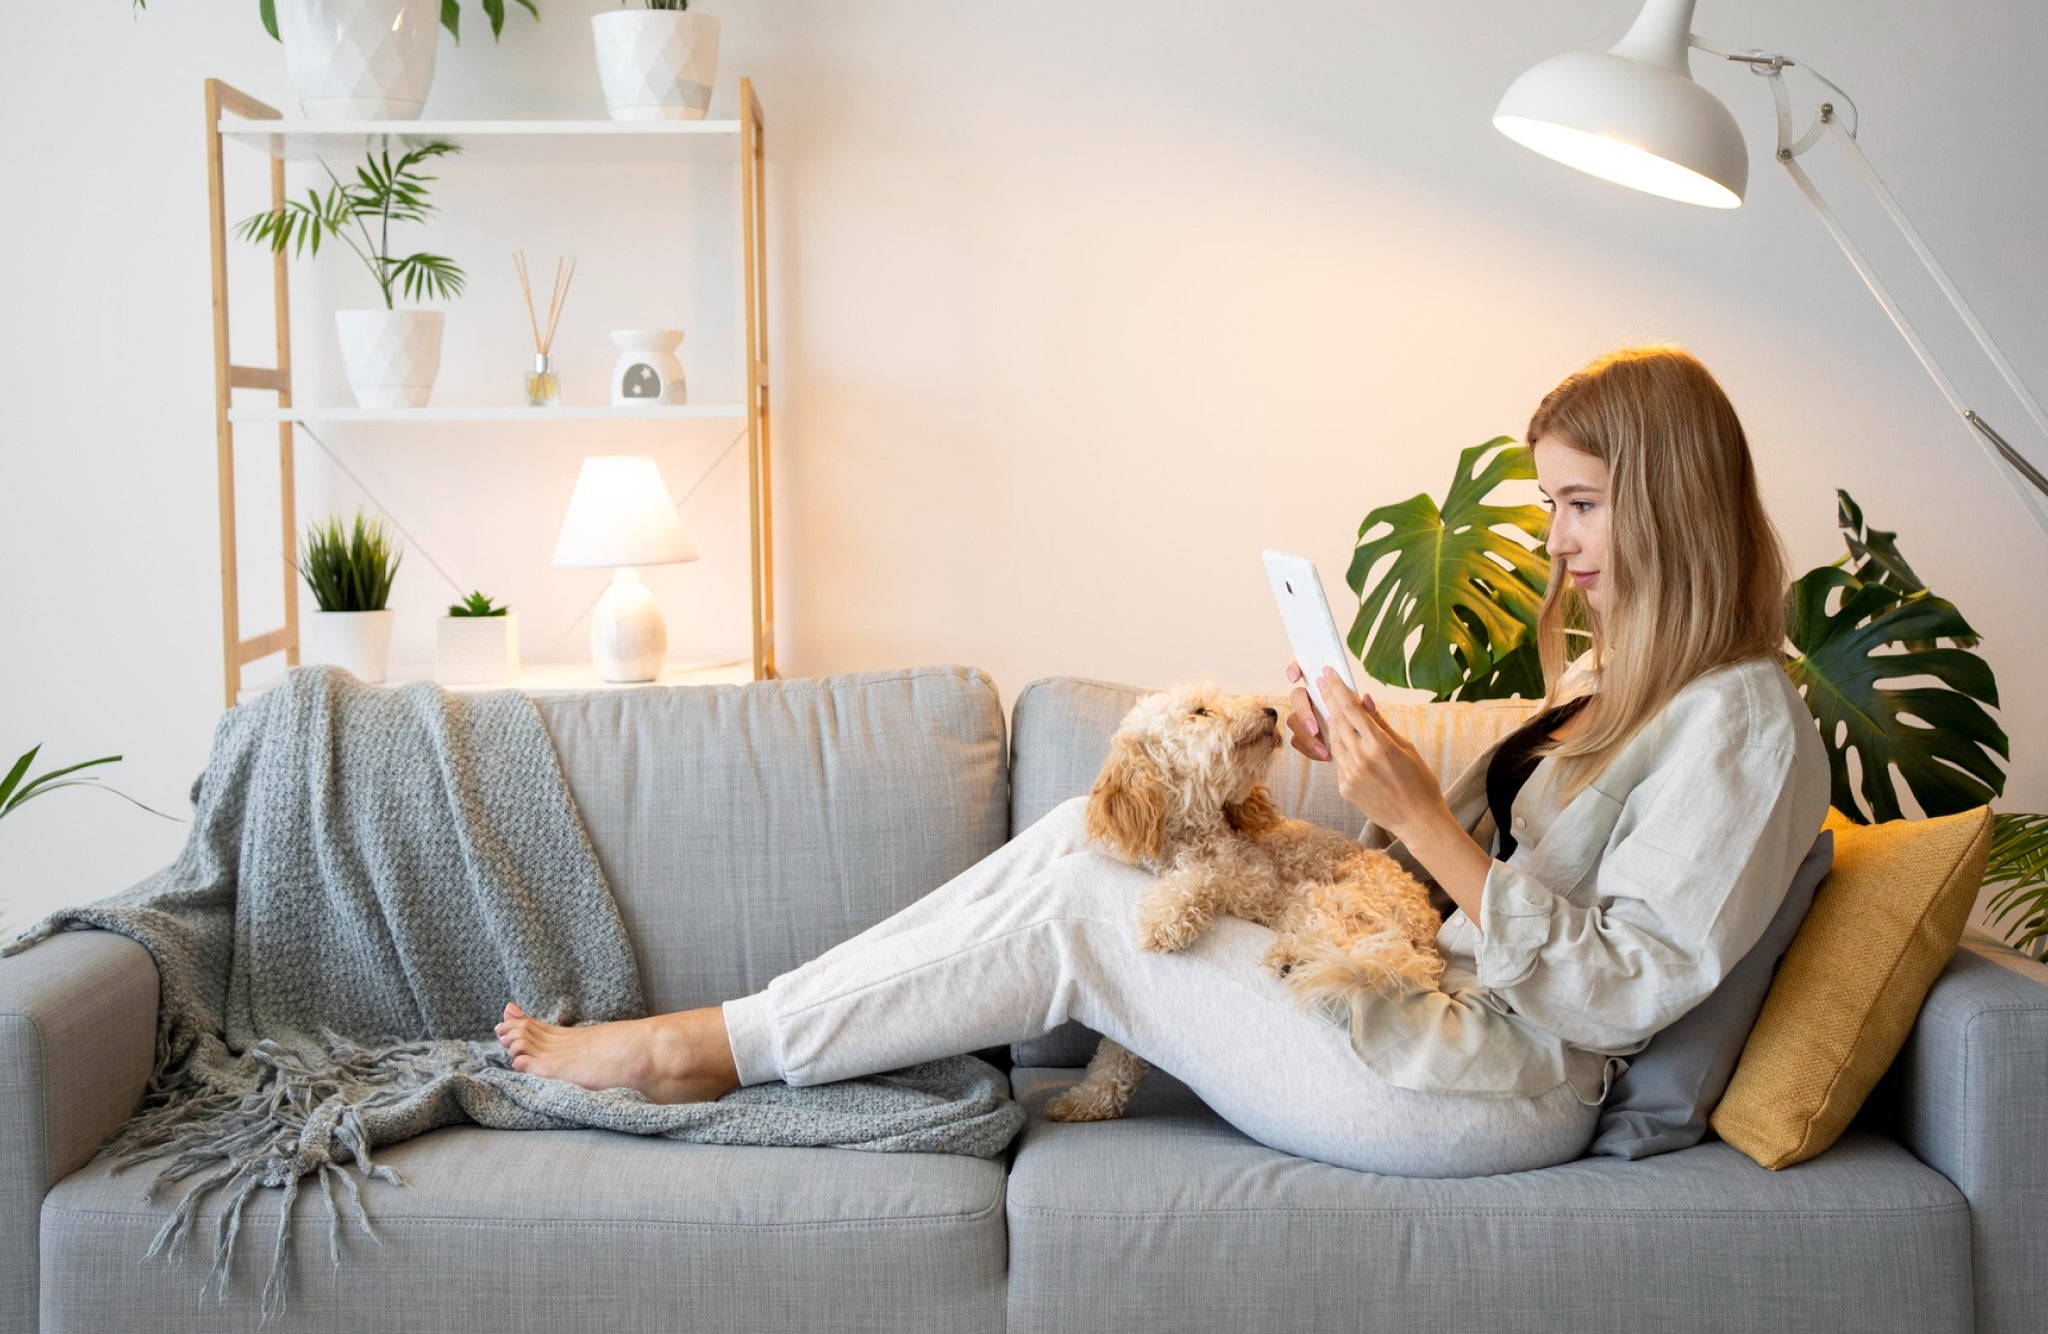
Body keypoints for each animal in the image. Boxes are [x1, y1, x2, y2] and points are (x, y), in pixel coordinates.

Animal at [1048, 680, 1449, 1131]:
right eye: (1200, 711)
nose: (1271, 711)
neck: (1192, 833)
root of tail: (1426, 929)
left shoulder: (1256, 883)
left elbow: (1206, 876)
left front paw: (1165, 915)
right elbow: (1115, 1055)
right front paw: (1087, 1099)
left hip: (1329, 896)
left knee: (1350, 938)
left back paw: (1294, 956)